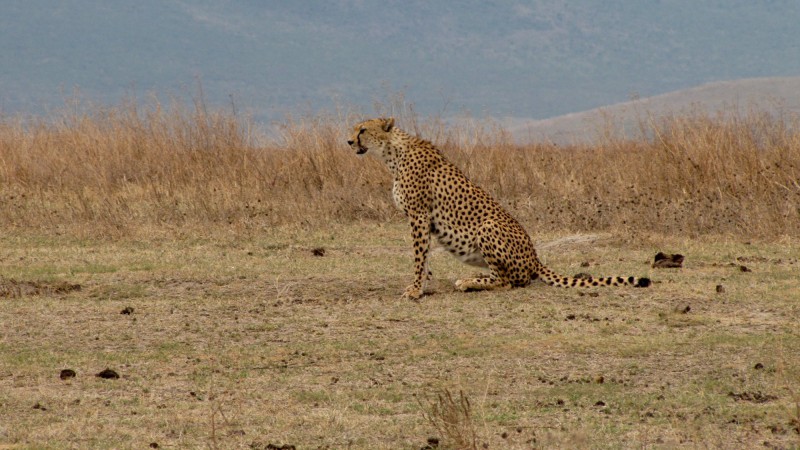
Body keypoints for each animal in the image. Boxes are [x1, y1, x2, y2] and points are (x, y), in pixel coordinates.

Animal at [348, 117, 648, 298]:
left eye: (363, 129)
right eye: (355, 129)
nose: (349, 141)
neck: (392, 153)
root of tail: (535, 257)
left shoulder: (418, 215)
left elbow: (419, 255)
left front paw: (415, 289)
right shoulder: (421, 219)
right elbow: (425, 256)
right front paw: (424, 284)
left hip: (488, 227)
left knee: (508, 281)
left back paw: (469, 282)